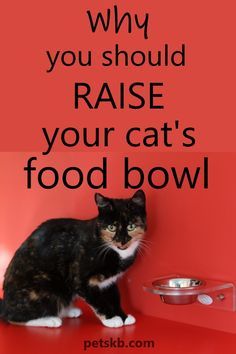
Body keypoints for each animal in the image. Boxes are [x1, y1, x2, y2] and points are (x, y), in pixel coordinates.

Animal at [0, 189, 147, 328]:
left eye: (131, 226)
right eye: (111, 227)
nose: (121, 241)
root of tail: (5, 304)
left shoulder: (108, 281)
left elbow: (113, 297)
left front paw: (123, 316)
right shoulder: (80, 279)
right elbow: (97, 300)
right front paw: (111, 319)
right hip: (48, 286)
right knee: (13, 317)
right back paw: (50, 319)